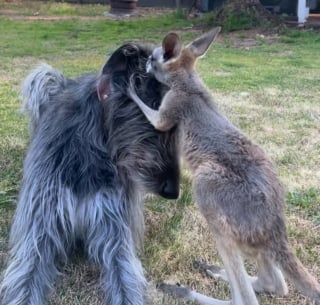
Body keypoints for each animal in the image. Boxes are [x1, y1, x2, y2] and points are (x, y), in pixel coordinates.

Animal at [0, 43, 180, 304]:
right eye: (157, 116)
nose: (174, 191)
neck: (92, 146)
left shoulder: (114, 230)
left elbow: (125, 278)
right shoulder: (40, 228)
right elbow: (26, 275)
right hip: (42, 79)